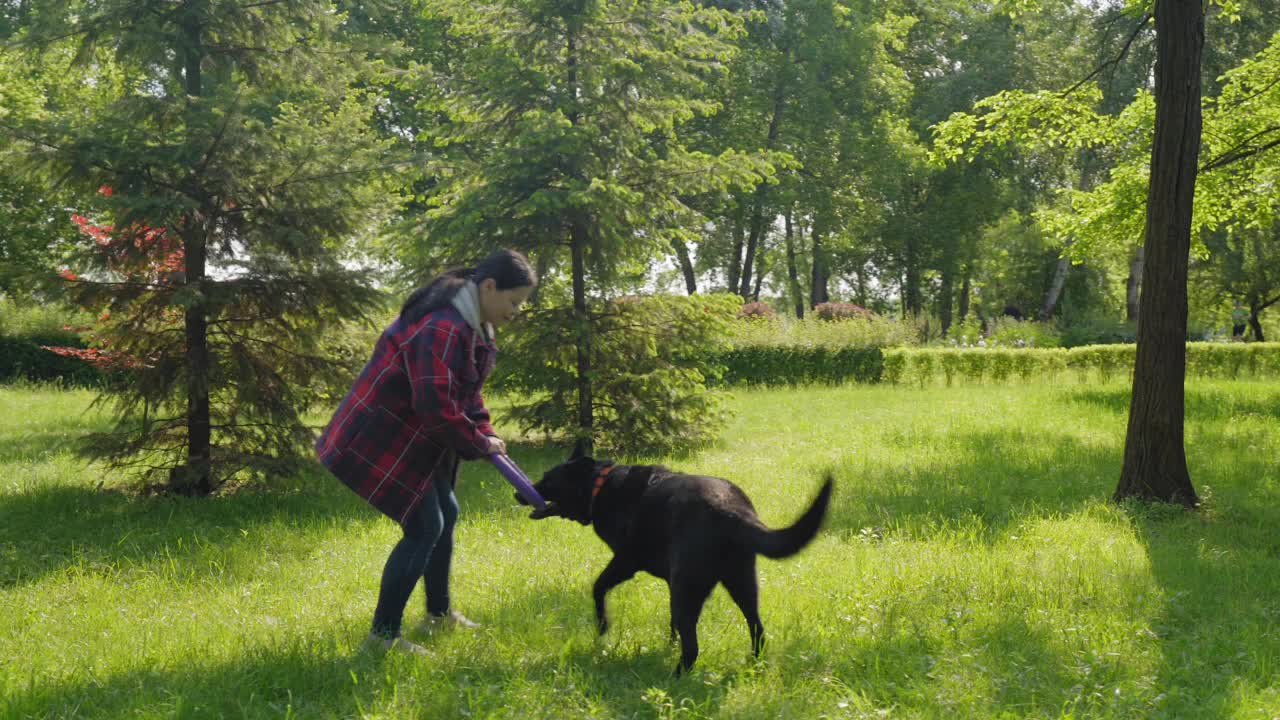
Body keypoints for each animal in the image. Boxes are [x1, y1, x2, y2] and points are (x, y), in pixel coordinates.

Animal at [517, 443, 829, 671]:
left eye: (548, 479)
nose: (517, 494)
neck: (600, 485)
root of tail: (730, 510)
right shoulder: (669, 581)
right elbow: (670, 622)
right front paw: (668, 644)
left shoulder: (625, 562)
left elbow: (598, 588)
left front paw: (603, 626)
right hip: (740, 585)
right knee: (757, 630)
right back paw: (752, 664)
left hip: (690, 588)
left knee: (693, 647)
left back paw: (675, 677)